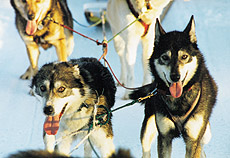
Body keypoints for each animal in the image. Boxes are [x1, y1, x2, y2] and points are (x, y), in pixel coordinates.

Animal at [129, 16, 217, 158]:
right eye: (165, 57)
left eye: (184, 56)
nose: (175, 77)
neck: (179, 100)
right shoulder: (164, 136)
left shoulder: (193, 140)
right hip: (148, 128)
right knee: (146, 149)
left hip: (206, 133)